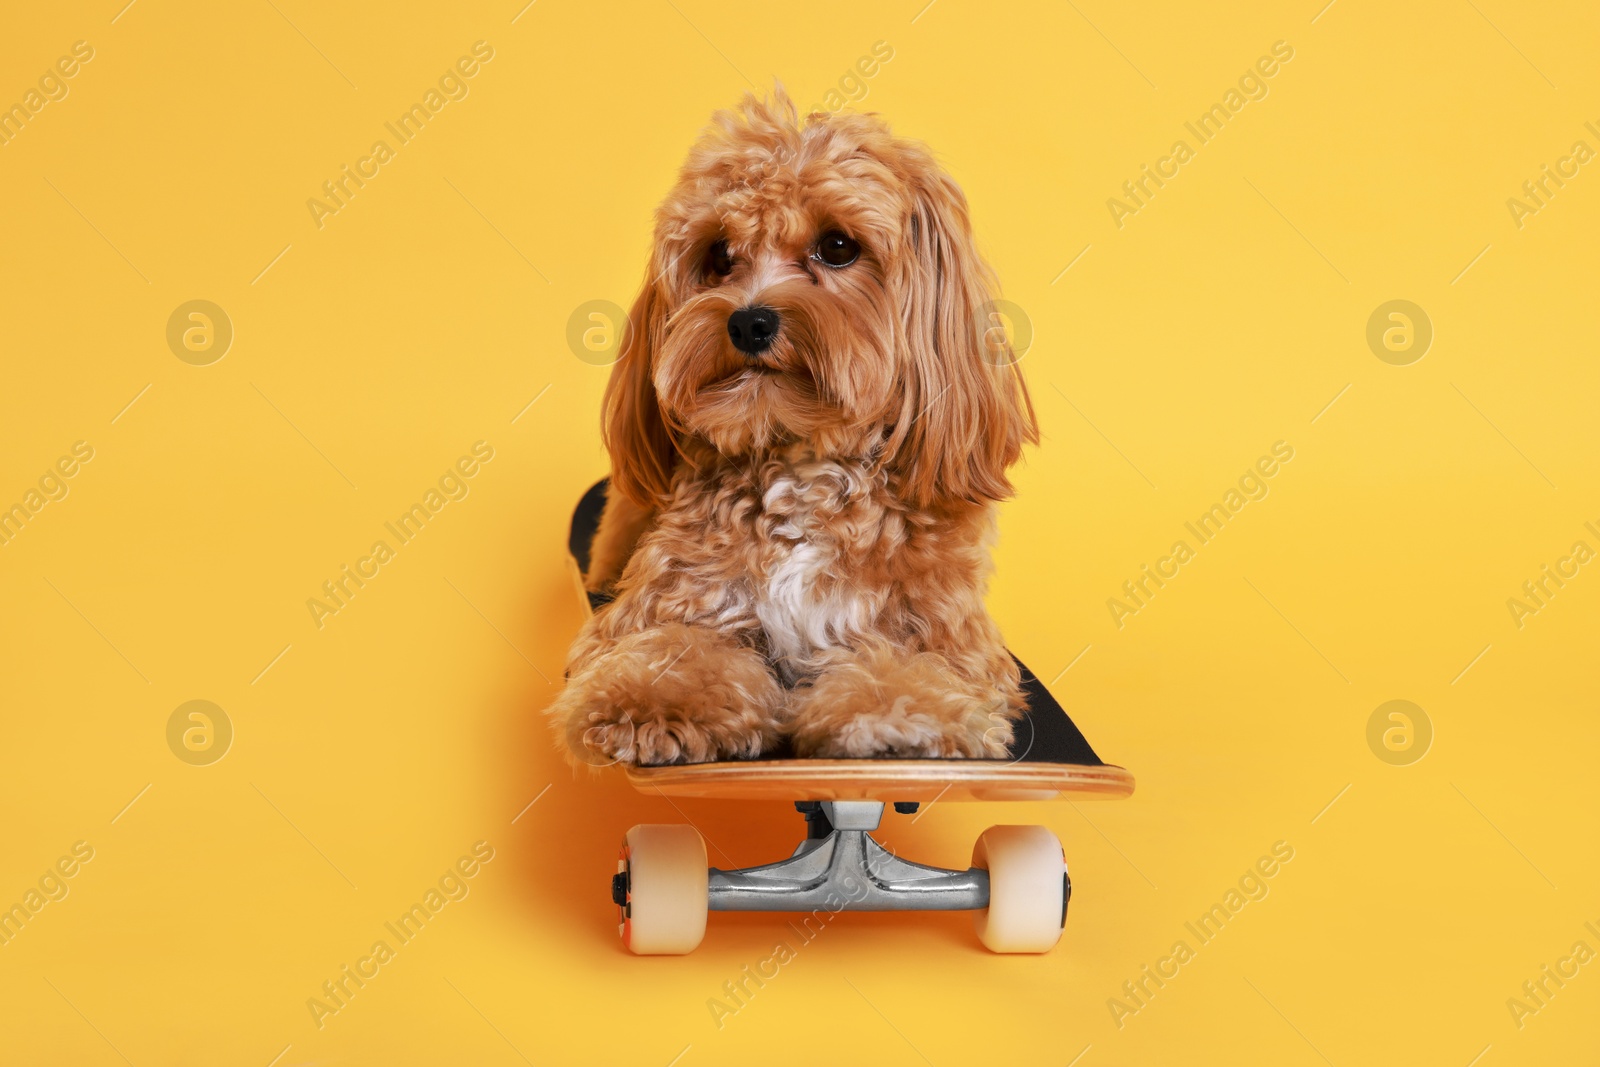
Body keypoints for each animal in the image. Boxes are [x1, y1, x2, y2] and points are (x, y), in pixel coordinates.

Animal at [547, 87, 1036, 764]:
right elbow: (673, 648)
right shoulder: (664, 603)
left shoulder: (945, 636)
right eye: (718, 255)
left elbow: (913, 669)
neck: (801, 465)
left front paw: (897, 717)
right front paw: (649, 704)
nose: (749, 322)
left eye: (838, 246)